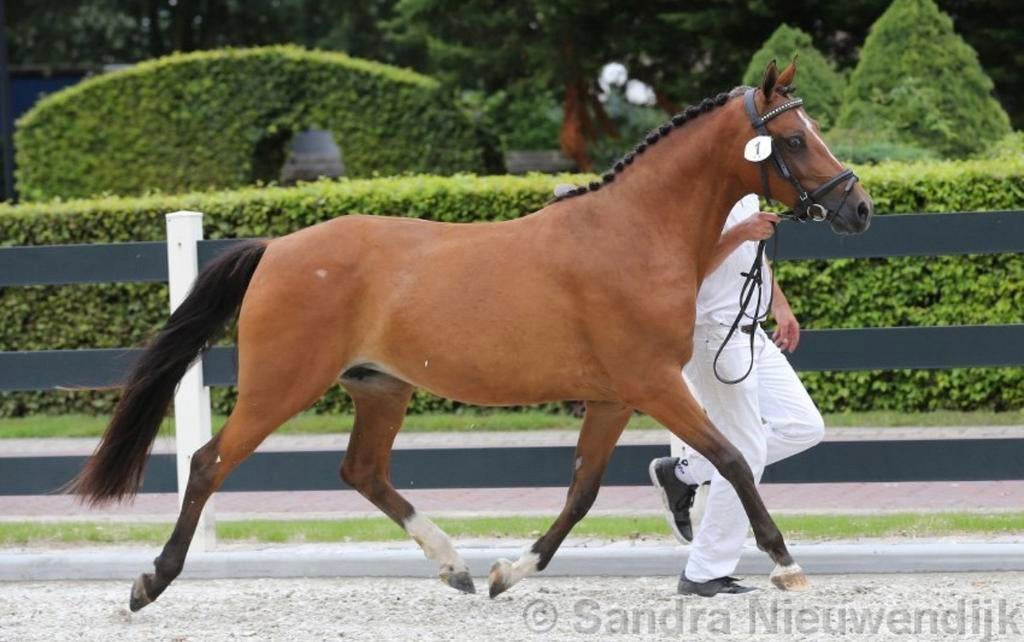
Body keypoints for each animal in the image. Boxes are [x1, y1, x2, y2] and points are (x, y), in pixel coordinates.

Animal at [69, 60, 872, 611]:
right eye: (794, 138)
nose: (858, 207)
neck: (633, 232)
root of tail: (277, 249)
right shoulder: (653, 384)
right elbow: (732, 459)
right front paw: (785, 562)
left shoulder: (614, 397)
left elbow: (583, 490)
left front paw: (508, 571)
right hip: (280, 386)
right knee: (208, 463)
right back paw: (150, 581)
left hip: (380, 390)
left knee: (362, 472)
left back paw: (453, 563)